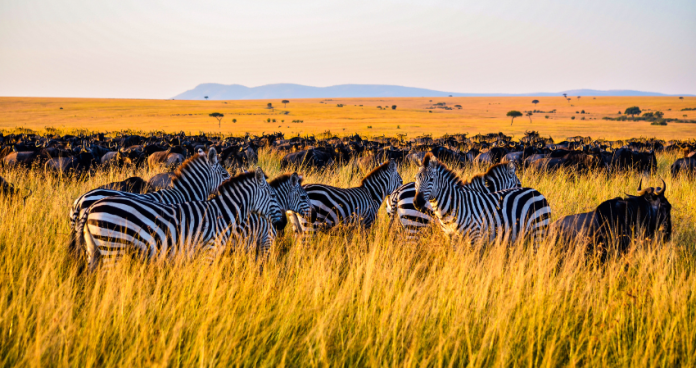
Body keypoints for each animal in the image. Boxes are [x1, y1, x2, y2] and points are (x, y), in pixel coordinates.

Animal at [79, 168, 280, 268]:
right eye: (272, 195)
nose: (281, 222)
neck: (222, 214)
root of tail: (90, 207)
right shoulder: (208, 252)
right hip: (113, 247)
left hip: (94, 249)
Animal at [414, 154, 548, 246]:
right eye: (415, 178)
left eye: (431, 179)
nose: (417, 202)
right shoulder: (452, 237)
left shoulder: (477, 236)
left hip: (537, 231)